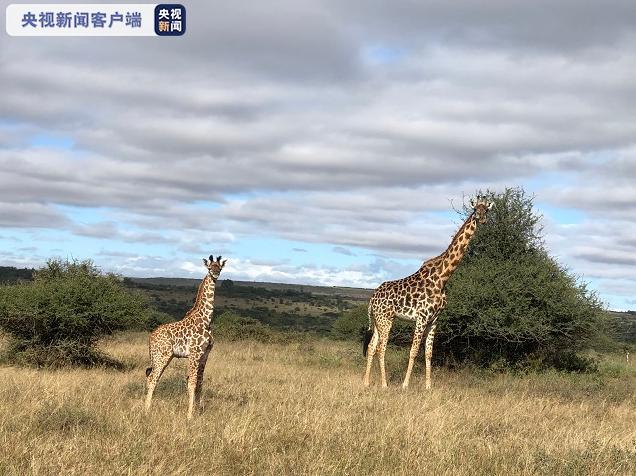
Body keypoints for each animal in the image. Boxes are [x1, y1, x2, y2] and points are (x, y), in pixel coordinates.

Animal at [144, 255, 226, 418]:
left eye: (219, 267)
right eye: (209, 267)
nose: (215, 274)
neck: (206, 320)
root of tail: (151, 337)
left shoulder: (205, 355)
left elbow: (200, 382)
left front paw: (199, 411)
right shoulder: (194, 353)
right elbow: (192, 382)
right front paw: (189, 415)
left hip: (165, 357)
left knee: (152, 377)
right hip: (161, 356)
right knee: (152, 378)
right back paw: (147, 410)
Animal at [362, 195, 492, 388]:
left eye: (487, 210)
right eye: (475, 209)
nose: (482, 219)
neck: (442, 278)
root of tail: (372, 298)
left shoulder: (434, 319)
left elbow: (428, 353)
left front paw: (428, 386)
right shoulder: (422, 317)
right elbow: (414, 351)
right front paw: (405, 385)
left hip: (380, 319)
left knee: (371, 346)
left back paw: (366, 382)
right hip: (386, 319)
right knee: (380, 348)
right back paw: (384, 384)